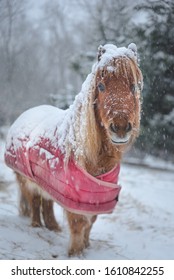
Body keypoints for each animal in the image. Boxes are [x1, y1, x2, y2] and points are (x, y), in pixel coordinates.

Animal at [6, 43, 143, 256]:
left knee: (46, 202)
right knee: (35, 201)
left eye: (133, 86)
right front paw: (76, 253)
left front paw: (86, 246)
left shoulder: (94, 197)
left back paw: (53, 227)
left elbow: (90, 222)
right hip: (26, 180)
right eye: (101, 86)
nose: (120, 128)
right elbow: (78, 223)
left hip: (48, 182)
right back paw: (36, 225)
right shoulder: (74, 195)